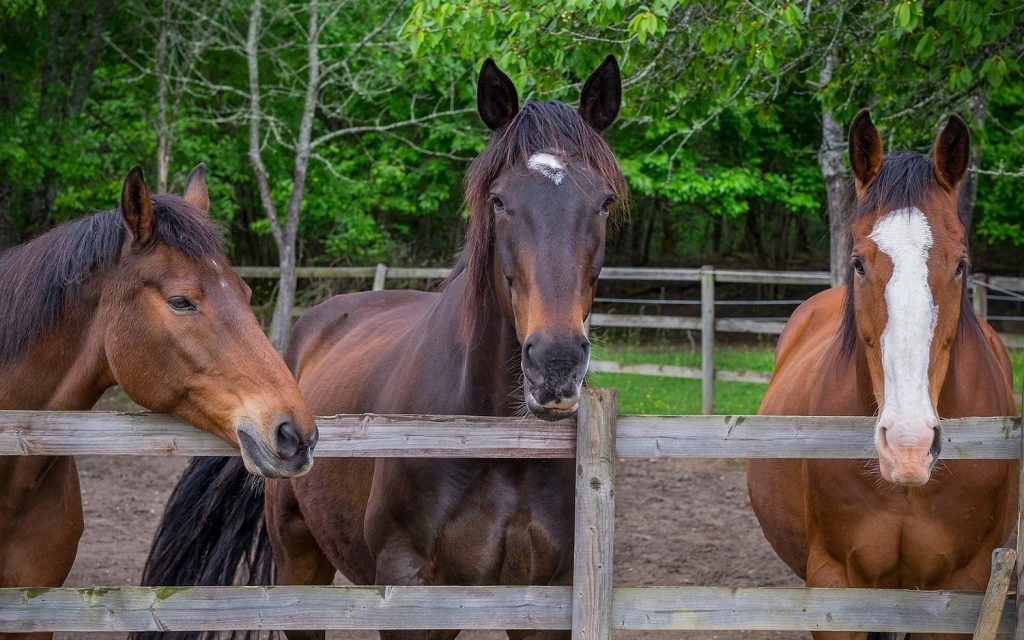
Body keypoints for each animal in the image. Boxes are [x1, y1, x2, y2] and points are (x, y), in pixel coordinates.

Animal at [139, 56, 626, 638]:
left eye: (603, 202)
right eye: (500, 200)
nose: (556, 362)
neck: (497, 449)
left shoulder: (543, 603)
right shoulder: (411, 594)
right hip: (299, 561)